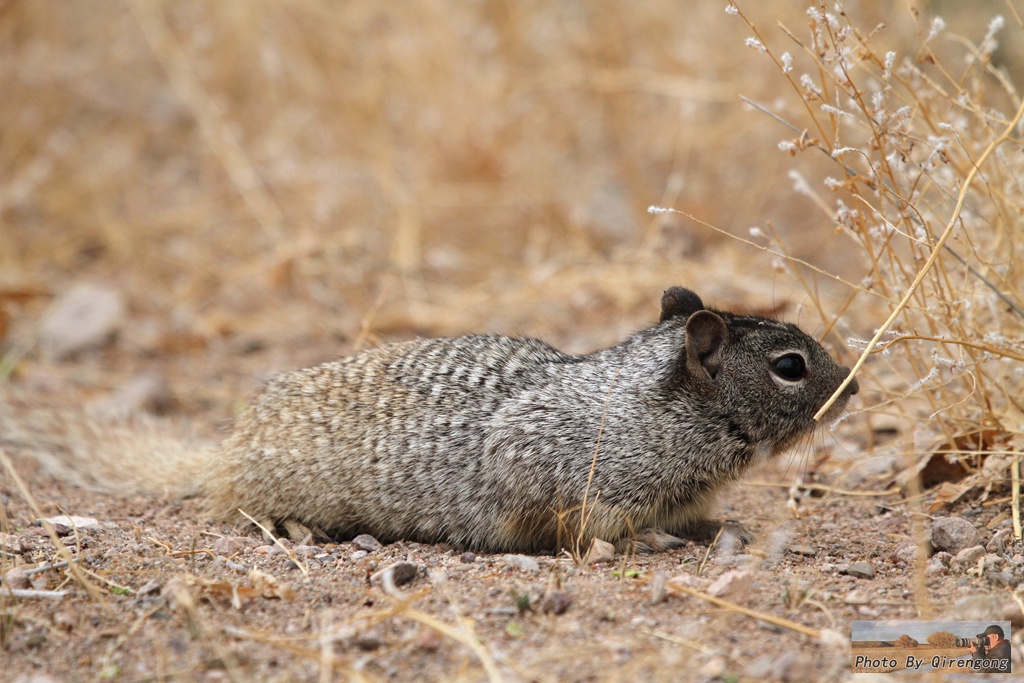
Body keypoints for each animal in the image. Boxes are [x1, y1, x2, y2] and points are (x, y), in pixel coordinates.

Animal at [2, 286, 856, 552]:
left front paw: (711, 526)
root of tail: (227, 449)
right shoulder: (550, 464)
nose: (854, 386)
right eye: (791, 365)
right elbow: (579, 522)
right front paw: (643, 540)